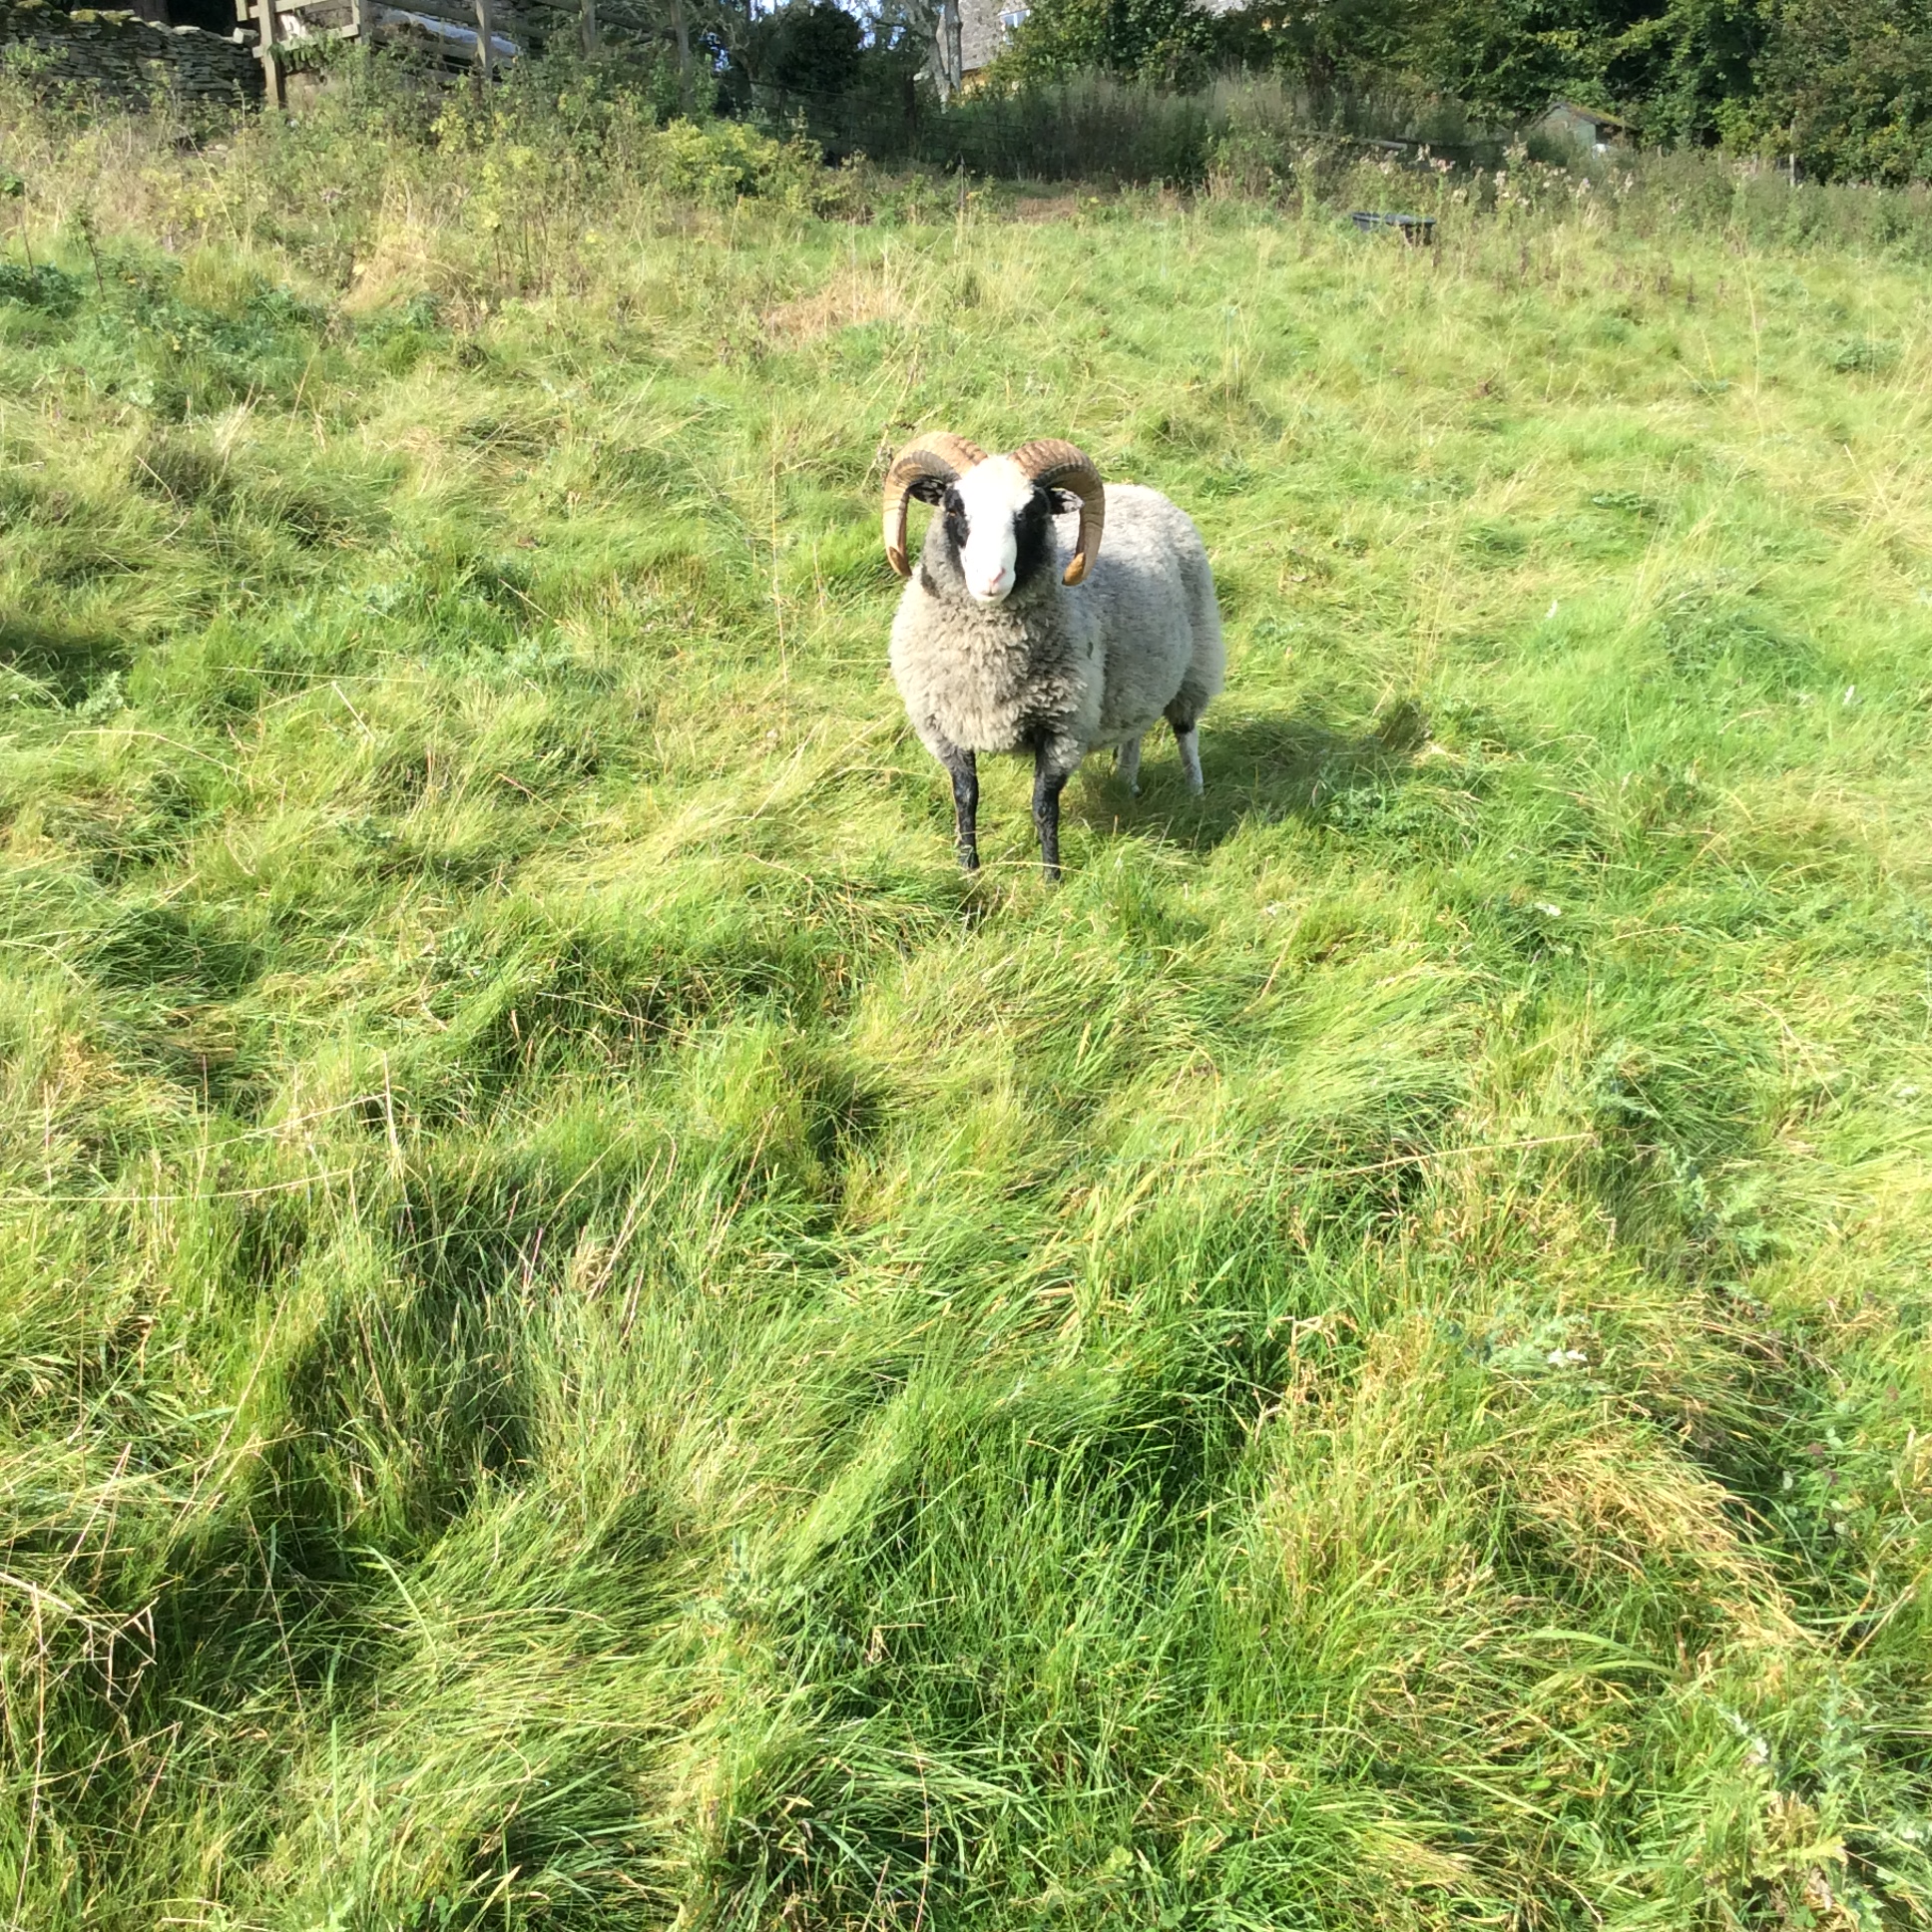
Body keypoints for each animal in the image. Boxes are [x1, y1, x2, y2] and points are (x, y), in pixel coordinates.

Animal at [882, 432, 1224, 881]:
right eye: (954, 507)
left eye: (1032, 513)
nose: (991, 578)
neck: (987, 661)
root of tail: (1139, 490)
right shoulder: (944, 725)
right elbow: (966, 798)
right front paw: (968, 868)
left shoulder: (1064, 727)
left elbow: (1044, 806)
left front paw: (1051, 877)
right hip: (1135, 680)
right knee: (1134, 732)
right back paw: (1127, 785)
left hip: (1198, 661)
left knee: (1186, 731)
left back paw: (1196, 792)